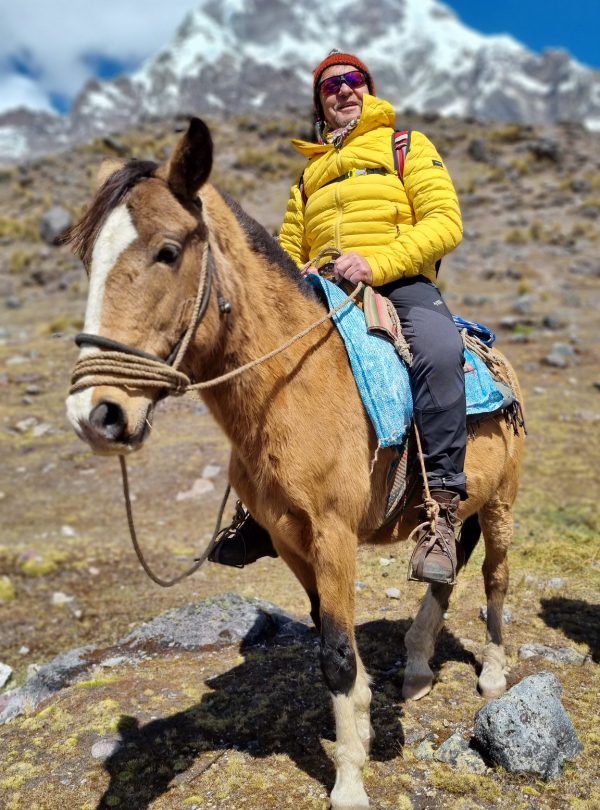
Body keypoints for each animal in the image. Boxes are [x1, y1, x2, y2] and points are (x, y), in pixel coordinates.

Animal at [65, 118, 525, 810]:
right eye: (88, 259)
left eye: (168, 251)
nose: (98, 414)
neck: (292, 386)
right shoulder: (287, 537)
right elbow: (326, 639)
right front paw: (359, 726)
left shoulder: (334, 535)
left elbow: (336, 651)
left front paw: (350, 782)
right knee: (445, 569)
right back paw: (417, 666)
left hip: (499, 503)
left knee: (494, 579)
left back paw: (493, 676)